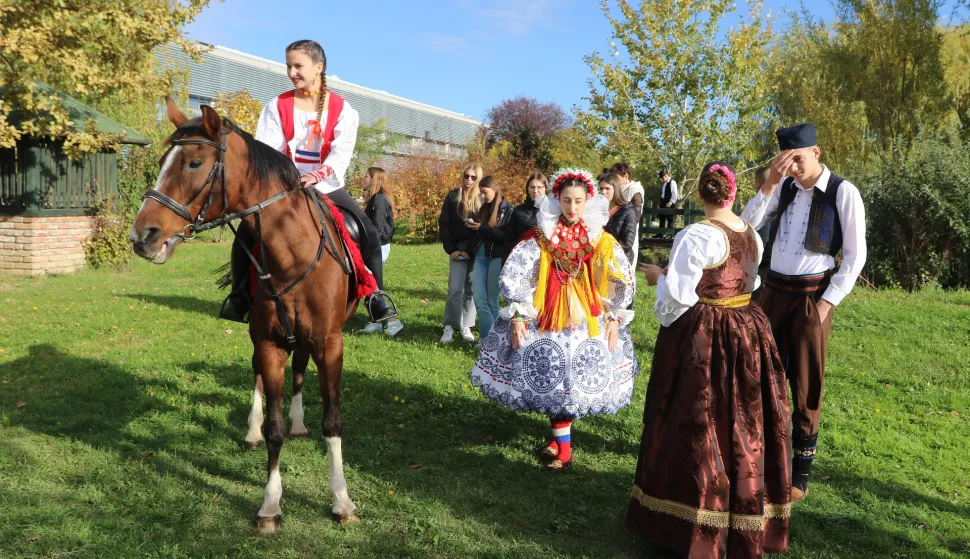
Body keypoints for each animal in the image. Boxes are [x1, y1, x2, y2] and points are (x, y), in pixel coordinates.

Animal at [132, 99, 364, 532]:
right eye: (160, 161)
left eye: (194, 163)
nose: (143, 237)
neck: (293, 255)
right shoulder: (269, 343)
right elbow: (273, 428)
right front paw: (270, 504)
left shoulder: (330, 344)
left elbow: (333, 422)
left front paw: (342, 500)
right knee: (259, 376)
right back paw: (253, 430)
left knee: (300, 368)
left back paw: (299, 422)